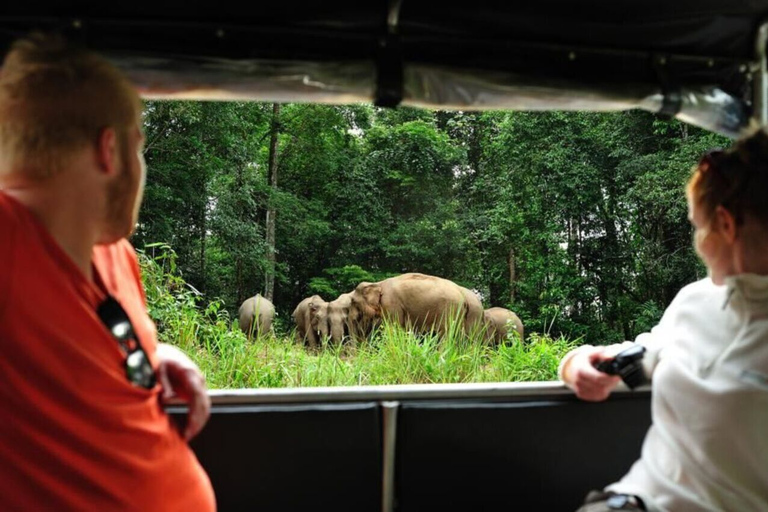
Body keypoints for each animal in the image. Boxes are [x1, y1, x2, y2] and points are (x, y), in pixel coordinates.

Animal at [350, 272, 484, 340]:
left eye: (353, 301)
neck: (378, 283)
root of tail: (462, 294)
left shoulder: (391, 303)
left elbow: (394, 328)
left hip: (450, 308)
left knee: (446, 333)